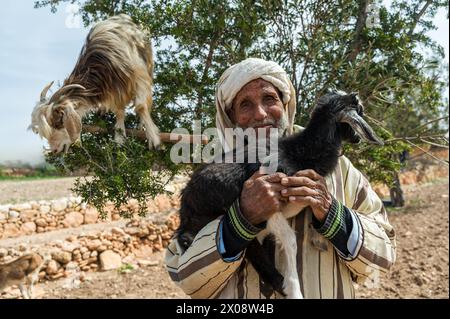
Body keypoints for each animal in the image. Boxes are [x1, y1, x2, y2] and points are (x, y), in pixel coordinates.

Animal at [29, 14, 160, 154]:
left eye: (59, 122)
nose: (55, 149)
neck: (101, 63)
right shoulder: (115, 87)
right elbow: (119, 109)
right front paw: (119, 138)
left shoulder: (138, 76)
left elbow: (140, 106)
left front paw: (154, 140)